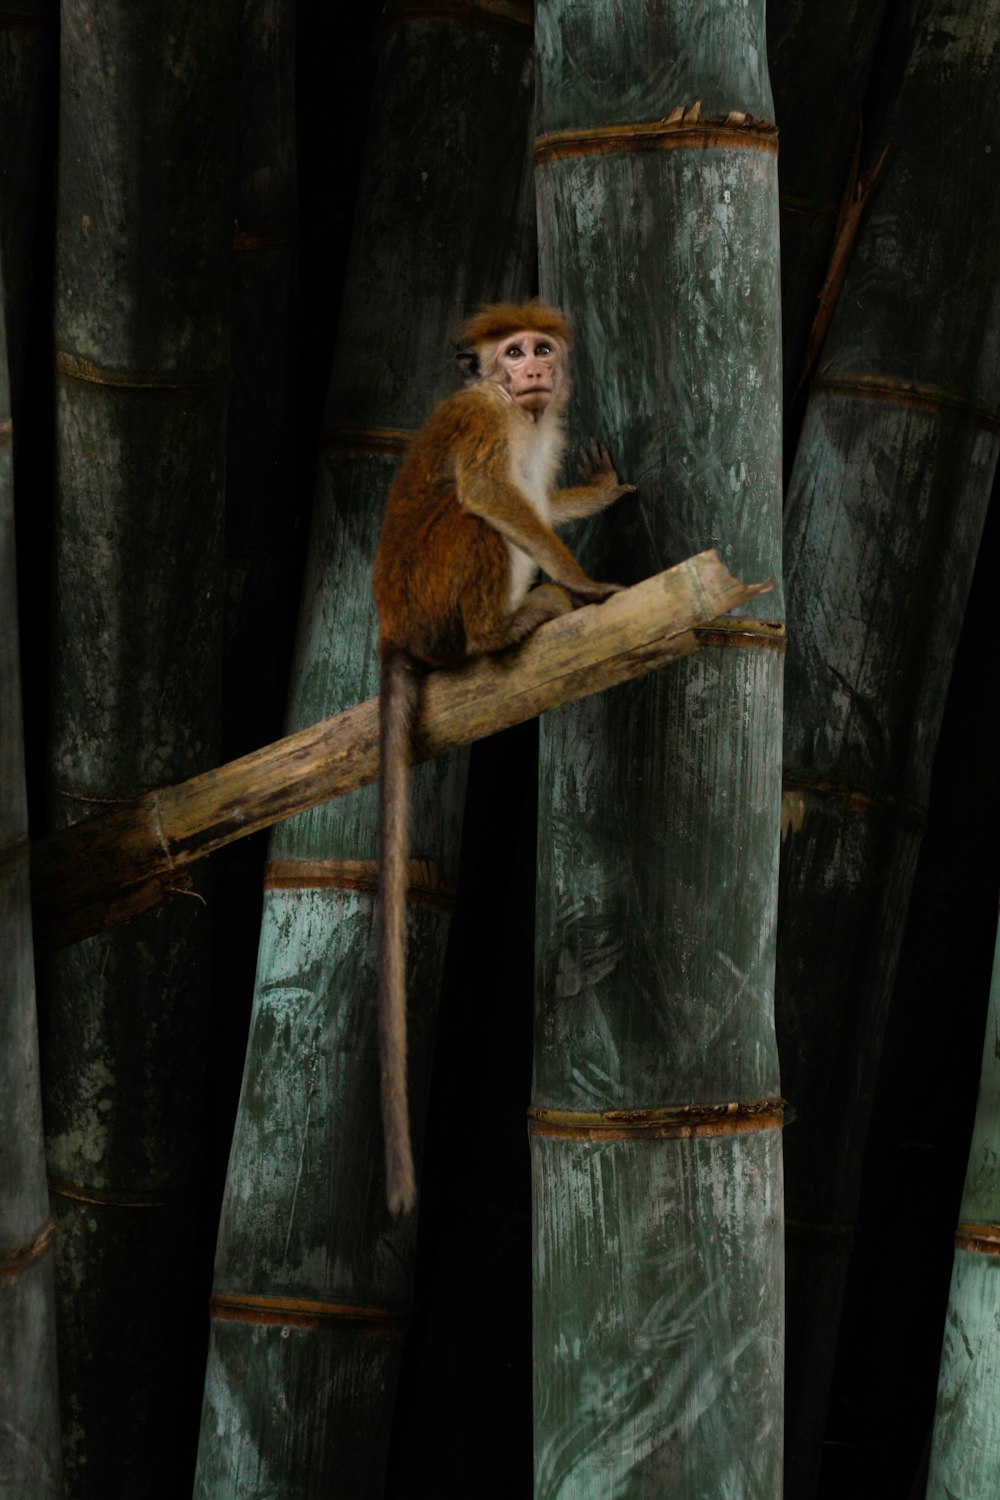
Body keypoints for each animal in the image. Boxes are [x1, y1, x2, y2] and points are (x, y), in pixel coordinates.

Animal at [371, 298, 638, 1212]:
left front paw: (597, 493)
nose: (533, 368)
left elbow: (538, 503)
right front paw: (585, 582)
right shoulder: (483, 417)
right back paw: (506, 626)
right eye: (511, 352)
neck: (516, 411)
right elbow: (493, 495)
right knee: (471, 517)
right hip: (433, 600)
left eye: (541, 349)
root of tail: (393, 631)